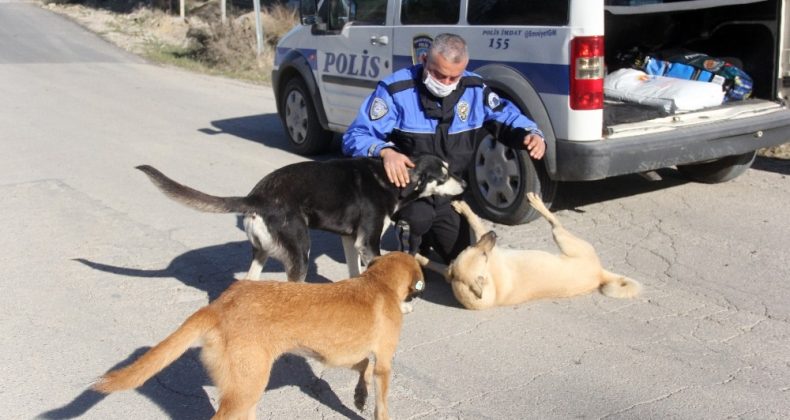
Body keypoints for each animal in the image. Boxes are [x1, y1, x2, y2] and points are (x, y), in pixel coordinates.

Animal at [93, 251, 426, 420]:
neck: (378, 282)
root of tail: (219, 306)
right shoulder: (384, 364)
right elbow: (381, 401)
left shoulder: (339, 355)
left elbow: (363, 366)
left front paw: (359, 394)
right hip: (246, 389)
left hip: (246, 392)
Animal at [138, 156, 468, 280]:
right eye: (444, 175)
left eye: (450, 168)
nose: (465, 184)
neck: (391, 179)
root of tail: (256, 196)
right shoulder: (368, 242)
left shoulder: (351, 240)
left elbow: (356, 273)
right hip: (299, 252)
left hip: (262, 253)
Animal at [418, 193, 640, 308]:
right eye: (483, 255)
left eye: (475, 248)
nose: (493, 234)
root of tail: (599, 273)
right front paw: (418, 257)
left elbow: (473, 220)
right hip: (562, 238)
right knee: (555, 221)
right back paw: (535, 201)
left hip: (562, 239)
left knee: (554, 219)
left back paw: (535, 200)